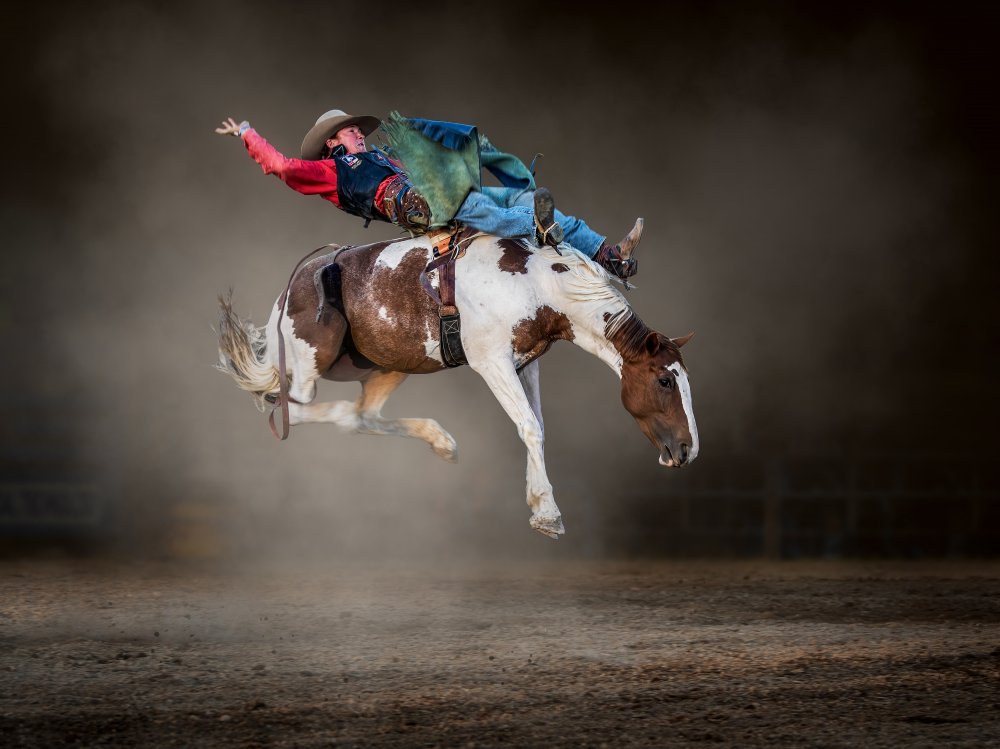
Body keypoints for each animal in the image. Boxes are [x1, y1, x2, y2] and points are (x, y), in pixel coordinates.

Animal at [215, 229, 700, 536]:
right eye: (664, 381)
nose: (687, 450)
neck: (539, 284)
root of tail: (288, 289)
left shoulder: (526, 363)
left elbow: (537, 425)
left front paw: (538, 501)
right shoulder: (490, 361)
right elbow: (529, 426)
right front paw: (548, 513)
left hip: (391, 365)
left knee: (363, 416)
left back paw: (442, 441)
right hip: (311, 360)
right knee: (294, 411)